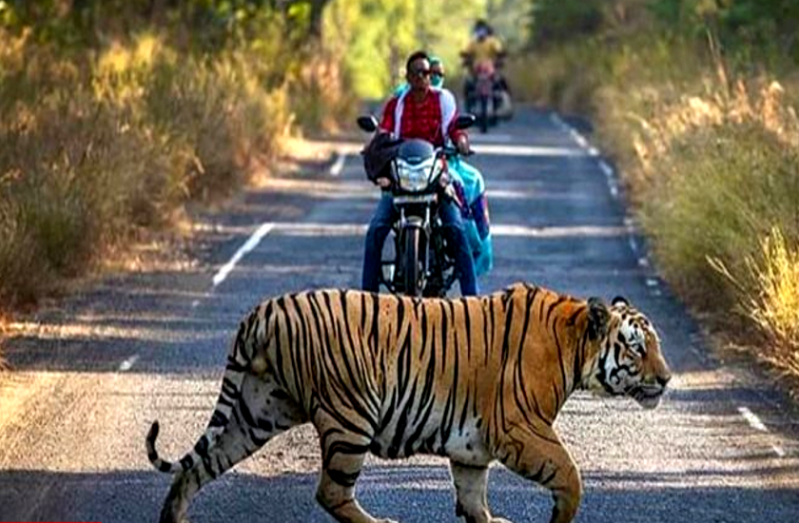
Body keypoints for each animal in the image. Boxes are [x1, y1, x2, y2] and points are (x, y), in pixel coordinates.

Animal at [146, 282, 671, 523]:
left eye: (656, 344)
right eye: (637, 347)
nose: (667, 379)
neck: (574, 343)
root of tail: (264, 309)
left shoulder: (472, 447)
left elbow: (473, 495)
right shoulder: (519, 429)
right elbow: (570, 474)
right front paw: (559, 515)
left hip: (257, 412)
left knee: (199, 466)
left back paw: (174, 518)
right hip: (351, 415)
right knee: (331, 492)